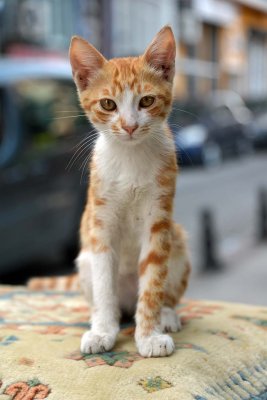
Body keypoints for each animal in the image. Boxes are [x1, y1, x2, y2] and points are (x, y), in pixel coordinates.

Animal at [29, 26, 192, 358]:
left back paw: (167, 315)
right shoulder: (101, 224)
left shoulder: (158, 220)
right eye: (108, 104)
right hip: (85, 261)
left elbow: (153, 282)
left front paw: (148, 336)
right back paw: (104, 319)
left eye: (147, 101)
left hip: (178, 241)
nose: (129, 126)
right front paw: (103, 331)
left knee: (163, 290)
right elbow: (105, 284)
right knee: (108, 298)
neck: (130, 158)